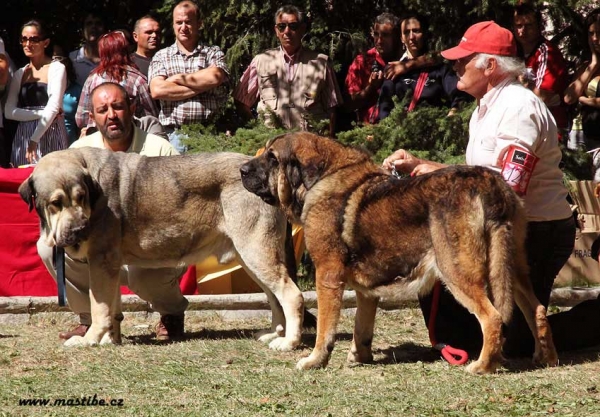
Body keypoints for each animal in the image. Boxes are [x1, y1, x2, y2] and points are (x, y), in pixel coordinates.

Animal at [18, 148, 304, 350]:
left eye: (81, 198)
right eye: (55, 203)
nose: (79, 229)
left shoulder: (101, 262)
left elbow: (99, 307)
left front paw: (90, 339)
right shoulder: (108, 267)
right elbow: (112, 306)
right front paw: (109, 339)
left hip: (256, 252)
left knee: (291, 295)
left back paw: (288, 343)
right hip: (252, 257)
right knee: (274, 297)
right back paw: (274, 333)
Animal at [239, 133, 556, 374]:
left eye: (272, 158)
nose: (242, 170)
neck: (321, 179)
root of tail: (490, 185)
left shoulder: (327, 276)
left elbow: (325, 330)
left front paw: (315, 360)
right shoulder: (366, 291)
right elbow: (362, 327)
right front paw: (359, 357)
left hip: (457, 272)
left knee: (492, 318)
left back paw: (481, 367)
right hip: (513, 270)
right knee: (537, 309)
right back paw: (545, 358)